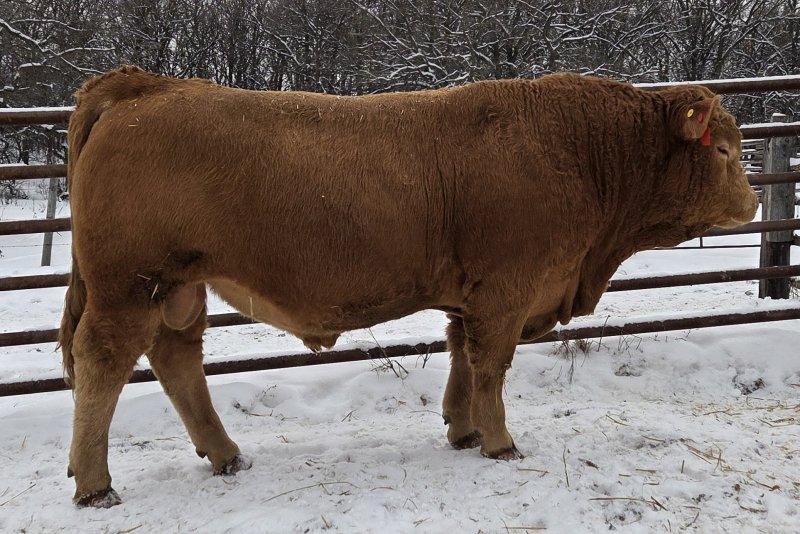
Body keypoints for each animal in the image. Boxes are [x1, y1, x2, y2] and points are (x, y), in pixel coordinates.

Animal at [59, 65, 757, 507]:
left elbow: (460, 354)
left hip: (178, 286)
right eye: (722, 149)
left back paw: (226, 454)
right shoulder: (508, 290)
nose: (753, 204)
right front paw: (499, 442)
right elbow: (491, 364)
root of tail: (148, 85)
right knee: (103, 362)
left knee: (176, 357)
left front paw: (462, 428)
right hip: (129, 285)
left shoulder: (472, 294)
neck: (580, 151)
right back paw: (96, 485)